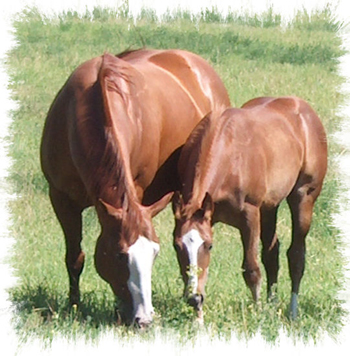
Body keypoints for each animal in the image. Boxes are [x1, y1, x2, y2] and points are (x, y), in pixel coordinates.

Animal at [40, 48, 230, 326]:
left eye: (154, 254)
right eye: (120, 255)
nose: (145, 319)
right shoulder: (61, 198)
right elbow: (74, 258)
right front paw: (74, 305)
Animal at [172, 96, 328, 322]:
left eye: (209, 246)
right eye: (177, 246)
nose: (193, 299)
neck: (230, 155)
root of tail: (304, 109)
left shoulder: (249, 216)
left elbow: (252, 269)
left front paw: (259, 314)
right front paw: (198, 319)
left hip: (303, 197)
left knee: (297, 256)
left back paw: (292, 312)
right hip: (270, 207)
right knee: (272, 253)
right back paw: (273, 304)